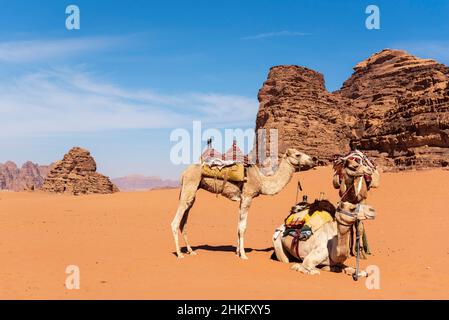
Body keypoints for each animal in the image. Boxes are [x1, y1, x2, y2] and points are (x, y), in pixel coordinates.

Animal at [172, 149, 316, 258]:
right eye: (298, 154)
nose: (313, 159)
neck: (261, 181)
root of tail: (183, 173)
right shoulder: (247, 196)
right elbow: (243, 227)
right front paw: (243, 255)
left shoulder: (242, 199)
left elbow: (238, 226)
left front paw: (237, 252)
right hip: (190, 186)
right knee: (175, 222)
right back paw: (179, 254)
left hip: (192, 191)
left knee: (183, 221)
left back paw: (191, 251)